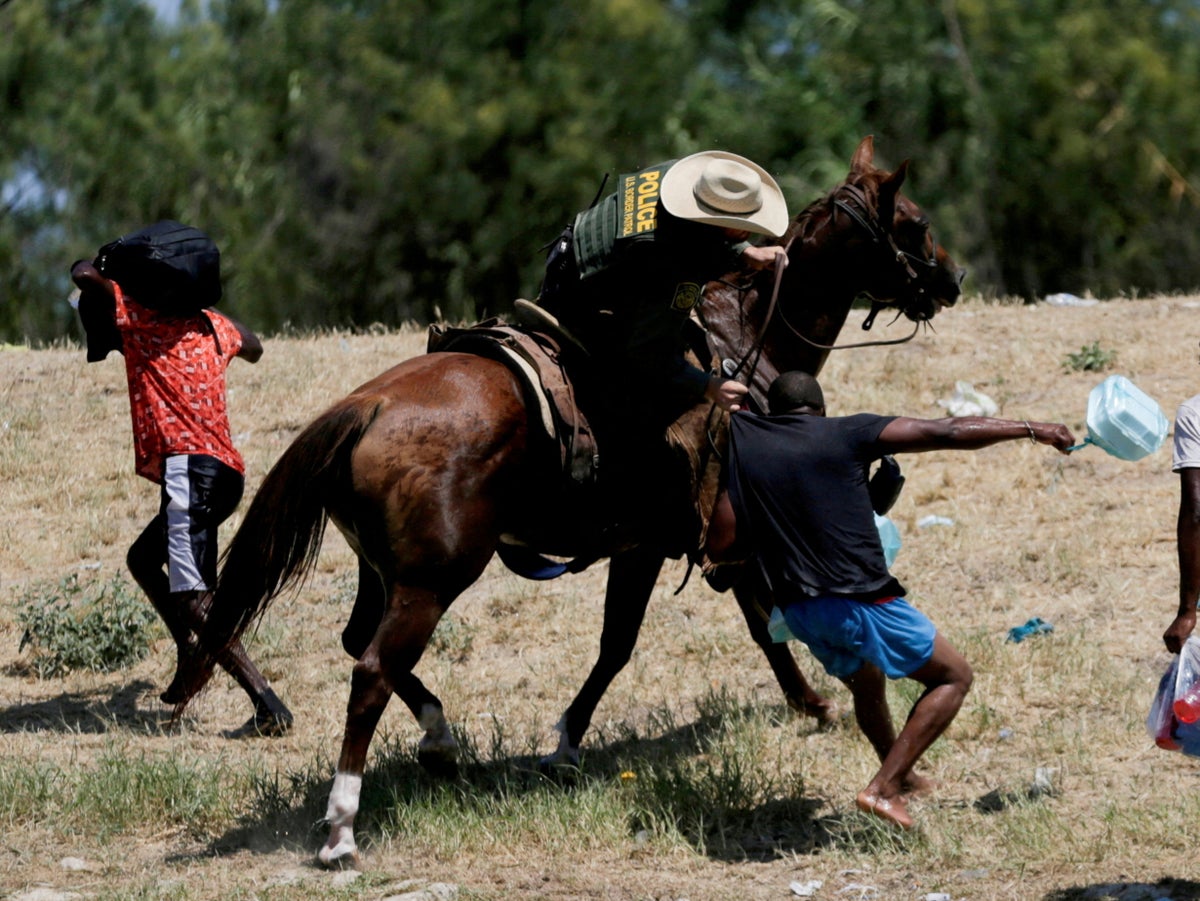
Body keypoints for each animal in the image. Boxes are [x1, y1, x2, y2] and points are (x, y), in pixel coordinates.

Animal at [180, 135, 964, 868]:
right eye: (915, 222)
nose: (952, 278)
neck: (749, 338)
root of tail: (367, 405)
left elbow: (753, 623)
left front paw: (809, 702)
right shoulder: (662, 543)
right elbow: (631, 642)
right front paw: (566, 740)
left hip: (384, 571)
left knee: (360, 646)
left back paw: (439, 739)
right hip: (433, 580)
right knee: (372, 668)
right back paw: (343, 826)